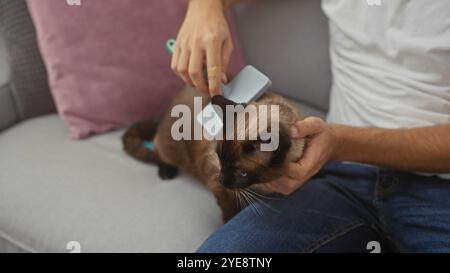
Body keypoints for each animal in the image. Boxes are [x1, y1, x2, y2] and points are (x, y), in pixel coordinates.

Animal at [123, 85, 306, 221]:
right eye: (219, 158)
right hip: (171, 149)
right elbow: (229, 208)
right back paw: (167, 172)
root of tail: (163, 114)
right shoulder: (216, 182)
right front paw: (228, 222)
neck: (260, 186)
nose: (222, 179)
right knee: (158, 151)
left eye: (242, 173)